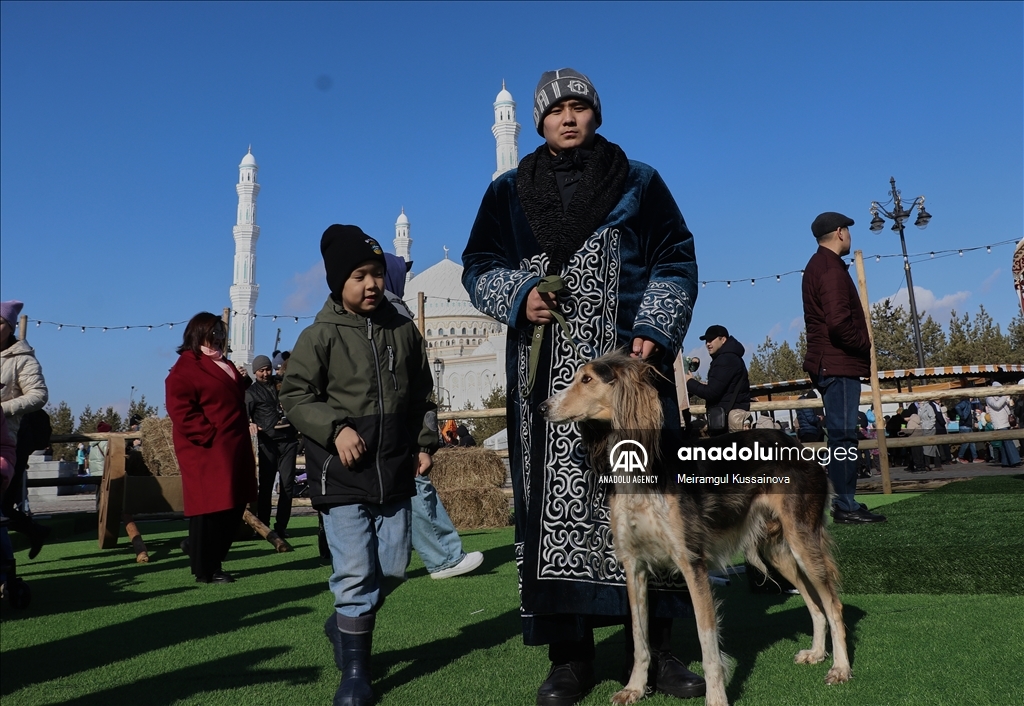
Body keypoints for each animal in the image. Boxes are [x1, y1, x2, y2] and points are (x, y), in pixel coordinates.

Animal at [540, 352, 851, 704]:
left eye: (588, 379)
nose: (542, 407)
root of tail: (796, 444)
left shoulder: (693, 563)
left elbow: (707, 643)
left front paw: (716, 698)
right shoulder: (634, 566)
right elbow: (640, 637)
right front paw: (634, 688)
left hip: (801, 539)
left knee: (833, 604)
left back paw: (840, 668)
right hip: (778, 550)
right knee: (814, 603)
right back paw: (817, 653)